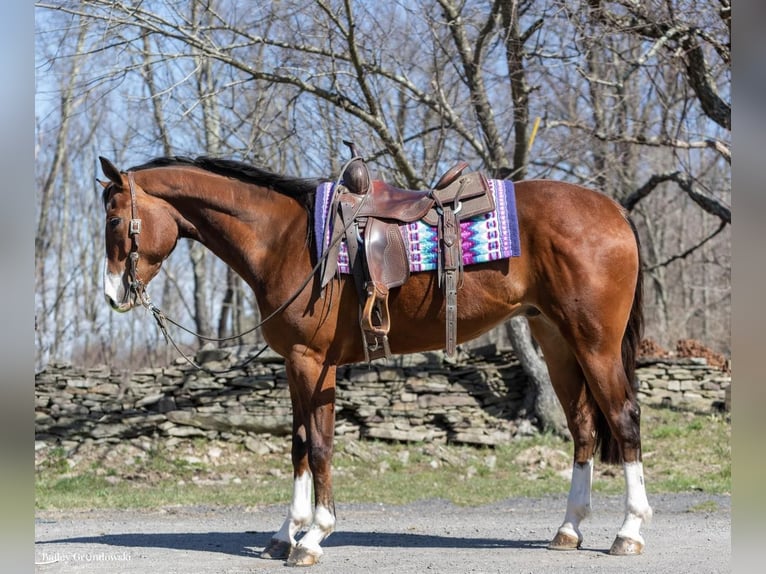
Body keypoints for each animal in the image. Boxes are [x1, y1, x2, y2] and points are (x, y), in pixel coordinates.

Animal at [99, 153, 656, 568]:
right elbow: (298, 446)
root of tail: (613, 210)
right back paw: (569, 528)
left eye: (113, 219)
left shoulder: (313, 363)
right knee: (584, 427)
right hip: (557, 340)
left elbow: (319, 446)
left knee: (624, 418)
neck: (285, 238)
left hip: (595, 343)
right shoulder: (293, 366)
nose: (112, 295)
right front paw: (284, 534)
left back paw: (629, 532)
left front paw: (314, 536)